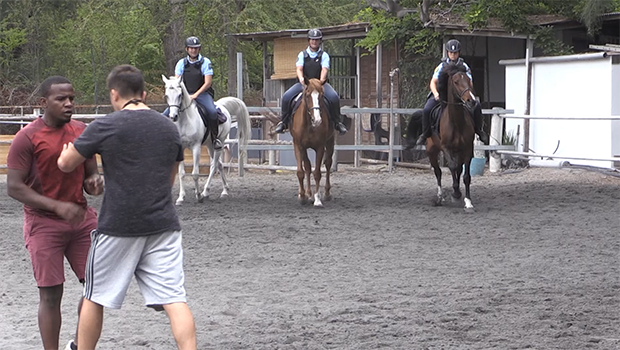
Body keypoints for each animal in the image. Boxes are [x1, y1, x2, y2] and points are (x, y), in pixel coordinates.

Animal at [165, 74, 252, 205]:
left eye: (180, 95)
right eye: (166, 95)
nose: (173, 116)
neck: (185, 121)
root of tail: (221, 105)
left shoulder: (196, 147)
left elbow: (195, 173)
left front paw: (198, 196)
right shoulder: (181, 148)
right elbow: (181, 174)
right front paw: (180, 197)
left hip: (219, 144)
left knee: (214, 165)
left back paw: (205, 192)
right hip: (210, 145)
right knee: (219, 165)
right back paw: (224, 191)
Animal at [290, 78, 334, 206]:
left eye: (321, 96)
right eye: (308, 95)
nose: (317, 120)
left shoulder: (320, 147)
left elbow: (317, 173)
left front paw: (317, 199)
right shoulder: (299, 146)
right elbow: (301, 171)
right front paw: (303, 196)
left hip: (330, 141)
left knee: (328, 164)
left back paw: (326, 193)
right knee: (308, 167)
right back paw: (308, 194)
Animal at [416, 65, 474, 211]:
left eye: (468, 80)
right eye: (456, 82)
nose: (471, 101)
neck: (457, 122)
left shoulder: (467, 149)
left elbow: (466, 176)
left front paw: (468, 201)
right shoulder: (446, 148)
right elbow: (452, 167)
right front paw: (456, 193)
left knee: (458, 170)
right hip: (432, 151)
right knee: (438, 172)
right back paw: (440, 197)